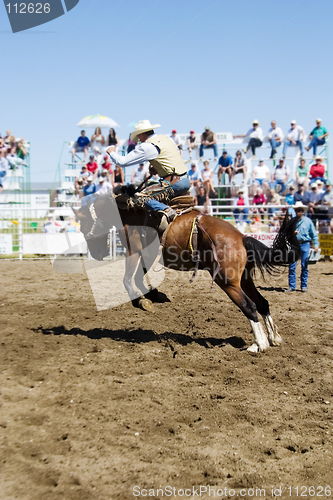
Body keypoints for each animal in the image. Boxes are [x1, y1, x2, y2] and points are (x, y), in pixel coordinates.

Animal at [74, 189, 298, 354]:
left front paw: (142, 302)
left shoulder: (133, 249)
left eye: (83, 223)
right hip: (243, 279)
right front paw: (155, 296)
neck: (131, 212)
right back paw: (273, 338)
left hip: (227, 282)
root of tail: (242, 238)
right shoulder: (146, 253)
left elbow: (128, 280)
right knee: (262, 303)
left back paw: (260, 344)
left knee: (249, 306)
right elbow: (138, 279)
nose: (98, 254)